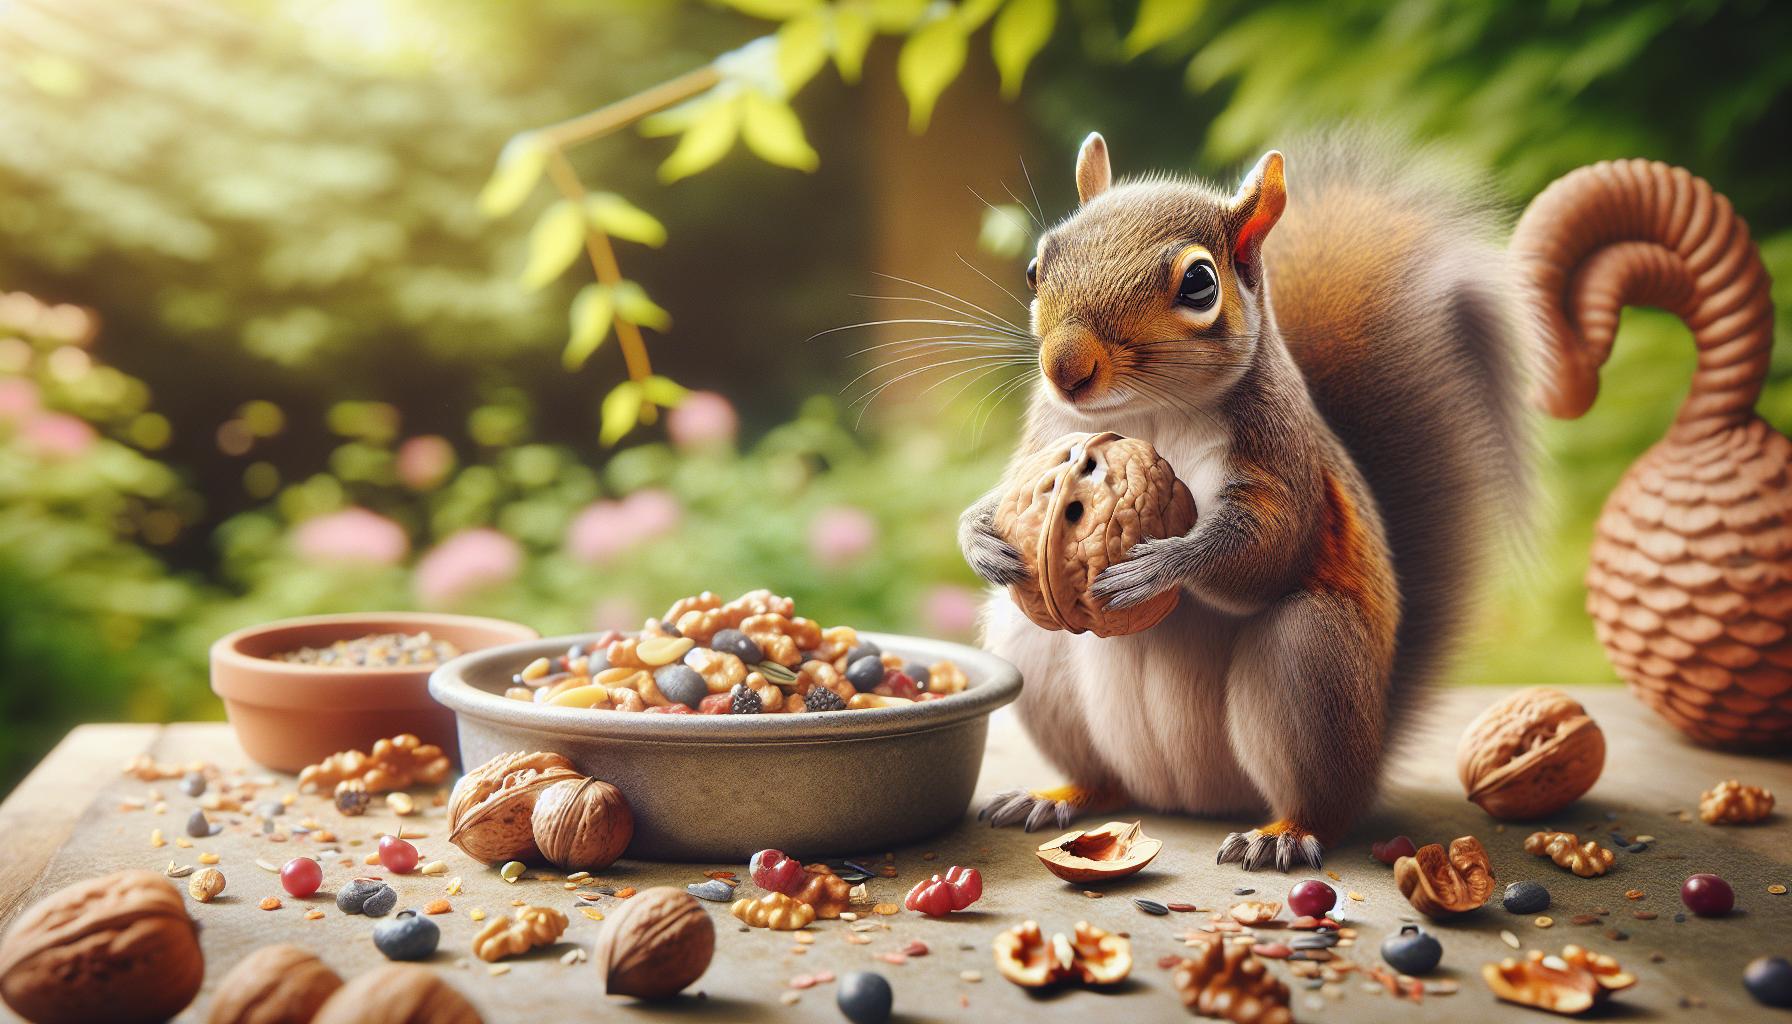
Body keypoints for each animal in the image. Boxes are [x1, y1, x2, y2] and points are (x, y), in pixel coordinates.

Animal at [960, 130, 1534, 871]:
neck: (1147, 414)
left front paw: (1159, 565)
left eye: (1200, 284)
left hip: (1310, 664)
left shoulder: (1280, 456)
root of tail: (1186, 801)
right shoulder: (1051, 437)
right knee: (1098, 768)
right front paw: (980, 532)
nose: (1066, 368)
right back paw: (1058, 795)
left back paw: (1284, 833)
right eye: (1037, 267)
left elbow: (1267, 550)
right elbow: (1012, 492)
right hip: (1033, 639)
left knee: (1321, 796)